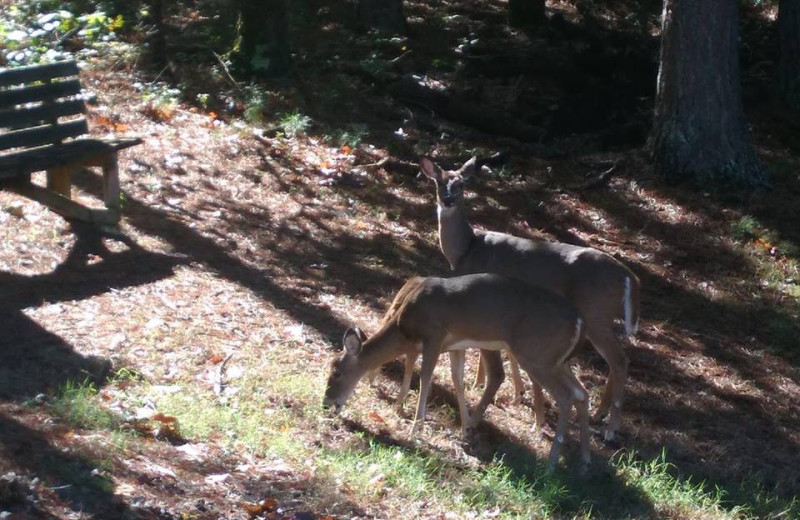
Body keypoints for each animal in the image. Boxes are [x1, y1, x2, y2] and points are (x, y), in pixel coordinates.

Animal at [322, 274, 592, 470]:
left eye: (336, 371)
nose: (327, 403)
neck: (403, 327)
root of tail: (580, 321)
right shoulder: (455, 345)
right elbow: (457, 381)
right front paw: (465, 429)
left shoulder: (434, 334)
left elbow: (426, 377)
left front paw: (414, 429)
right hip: (555, 360)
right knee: (582, 392)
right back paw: (584, 461)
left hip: (536, 355)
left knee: (566, 396)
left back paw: (552, 463)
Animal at [418, 156, 636, 440]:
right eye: (439, 181)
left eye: (461, 184)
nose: (447, 201)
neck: (467, 249)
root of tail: (628, 276)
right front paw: (514, 392)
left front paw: (481, 384)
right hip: (600, 317)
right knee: (615, 360)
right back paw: (600, 416)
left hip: (595, 311)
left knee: (618, 359)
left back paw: (611, 429)